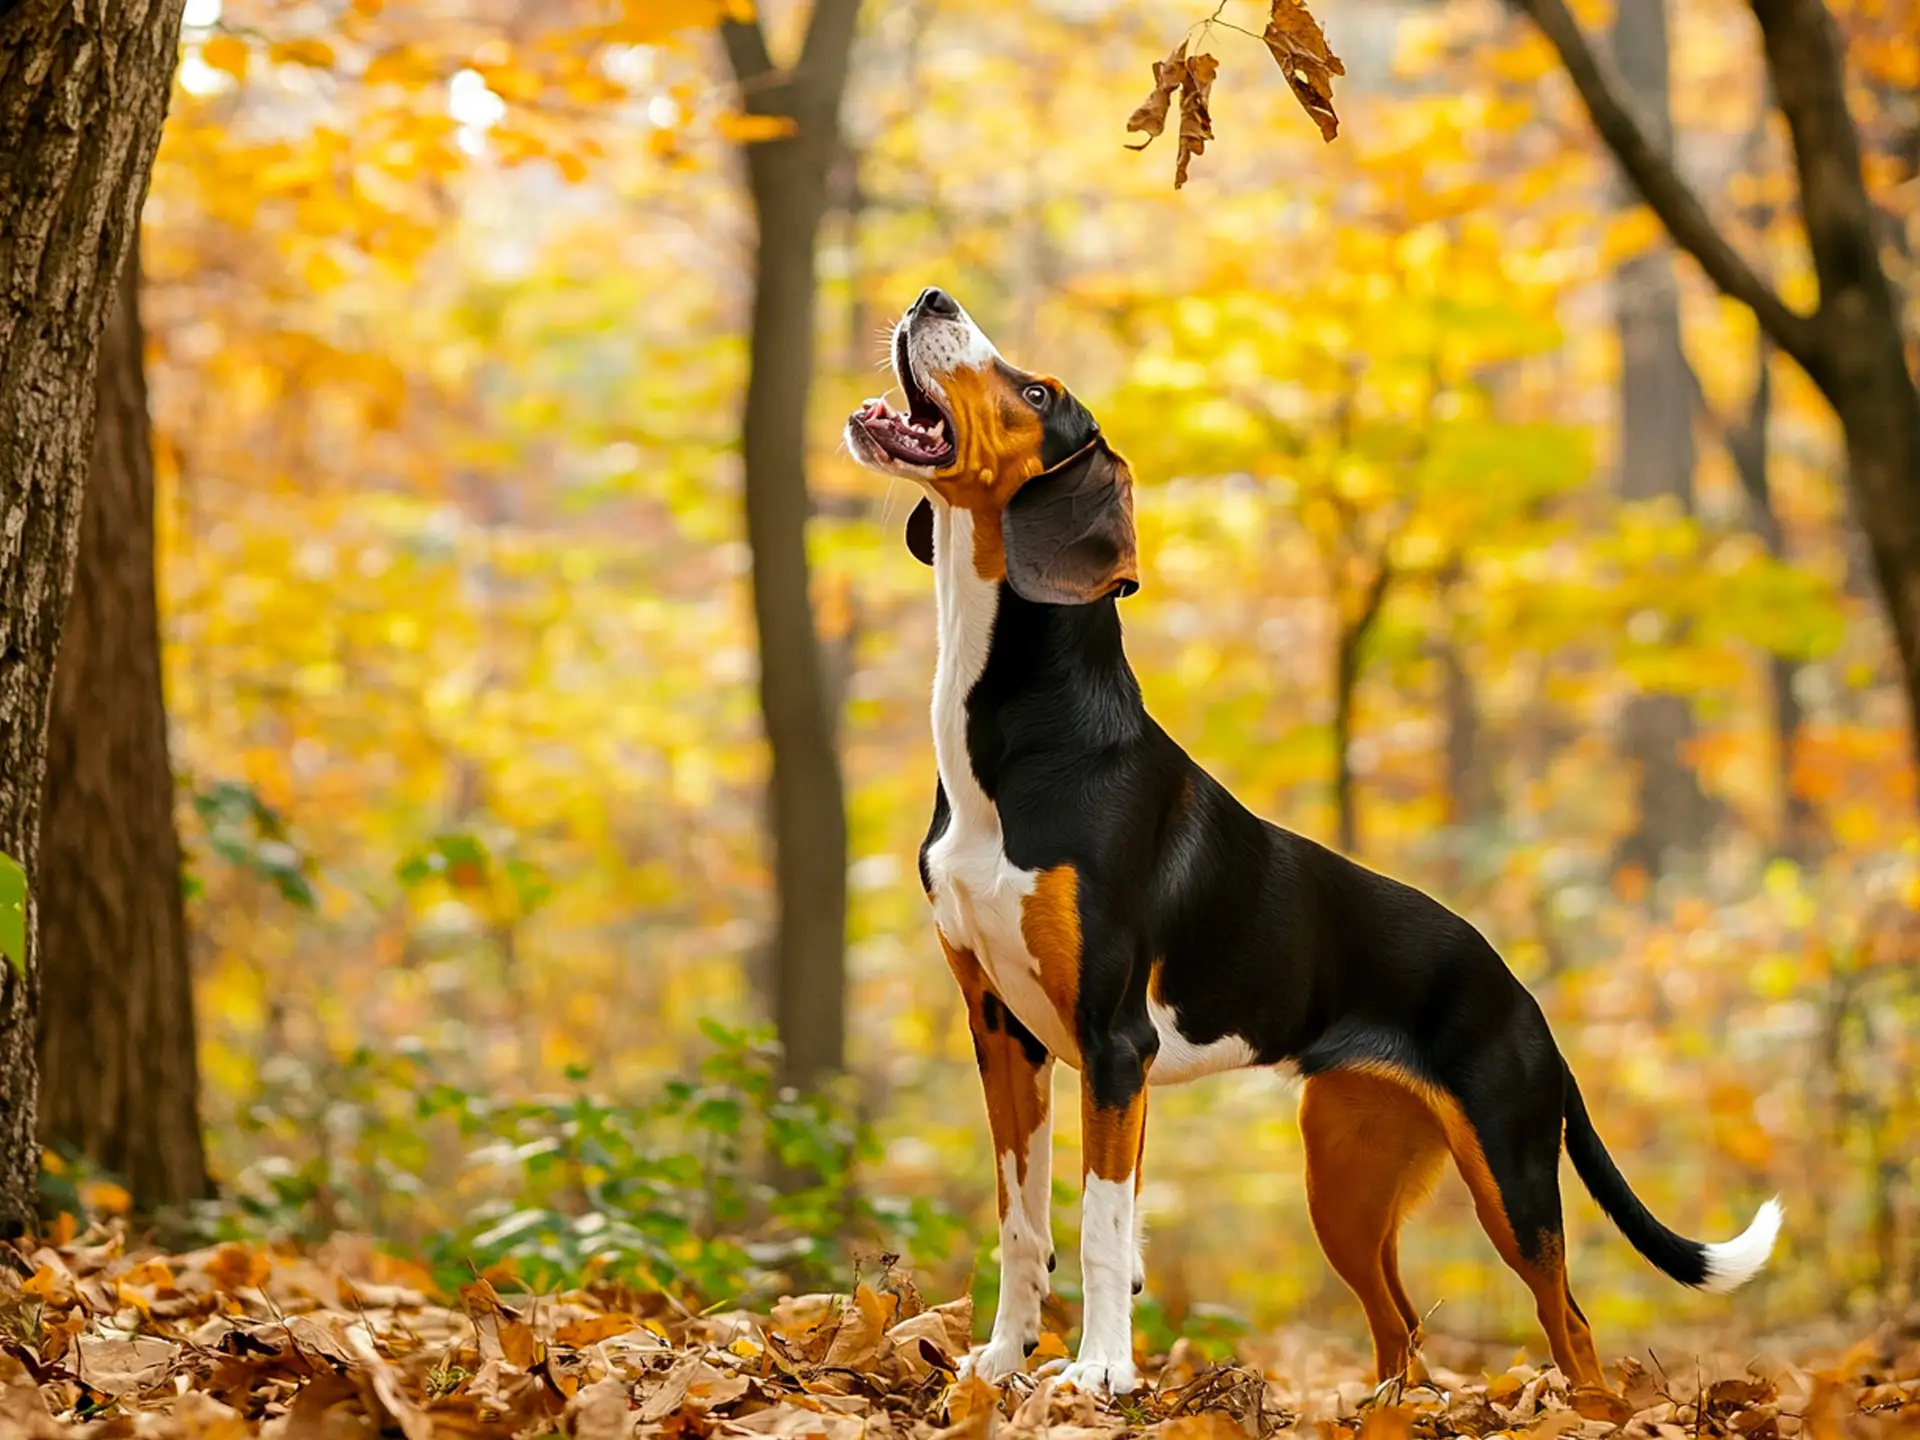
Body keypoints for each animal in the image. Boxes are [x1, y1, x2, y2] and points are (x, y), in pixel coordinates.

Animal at [844, 288, 1781, 1405]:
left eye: (1036, 394)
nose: (931, 297)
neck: (1017, 742)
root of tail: (1526, 998)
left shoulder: (1114, 1044)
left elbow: (1103, 1226)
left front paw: (1101, 1370)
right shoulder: (1002, 1030)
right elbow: (1021, 1220)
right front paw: (997, 1362)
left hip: (1509, 1176)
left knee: (1573, 1325)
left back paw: (1586, 1409)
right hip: (1345, 1175)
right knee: (1402, 1328)